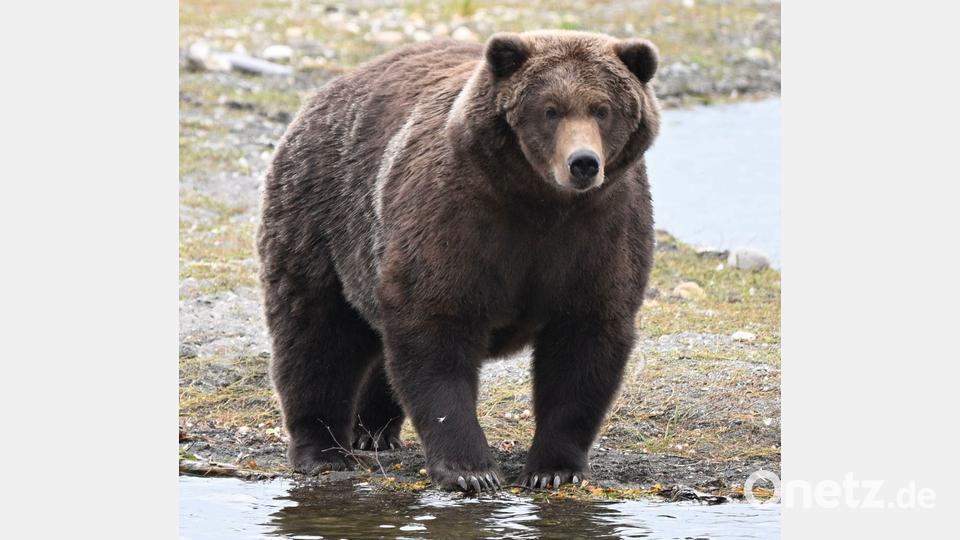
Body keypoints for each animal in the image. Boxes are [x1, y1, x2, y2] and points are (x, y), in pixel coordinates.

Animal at [256, 30, 660, 492]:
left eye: (603, 109)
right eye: (550, 109)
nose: (583, 163)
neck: (540, 203)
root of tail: (325, 92)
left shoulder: (600, 231)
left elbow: (584, 342)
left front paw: (553, 469)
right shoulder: (457, 218)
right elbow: (436, 330)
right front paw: (473, 470)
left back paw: (373, 431)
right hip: (322, 218)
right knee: (315, 334)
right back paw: (323, 451)